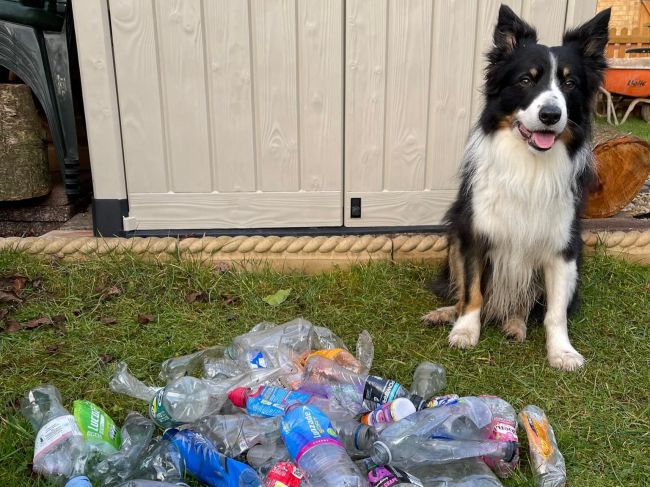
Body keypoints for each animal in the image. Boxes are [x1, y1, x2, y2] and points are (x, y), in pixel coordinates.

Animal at [422, 4, 612, 370]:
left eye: (569, 83)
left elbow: (555, 313)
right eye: (526, 80)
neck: (530, 164)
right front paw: (465, 331)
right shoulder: (474, 233)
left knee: (525, 304)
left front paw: (562, 351)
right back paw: (446, 314)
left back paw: (515, 324)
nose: (551, 114)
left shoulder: (563, 248)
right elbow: (472, 291)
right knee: (461, 292)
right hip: (453, 237)